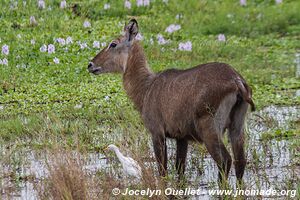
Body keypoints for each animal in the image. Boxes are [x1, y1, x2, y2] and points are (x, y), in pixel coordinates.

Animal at [88, 19, 254, 184]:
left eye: (113, 44)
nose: (90, 64)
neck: (146, 88)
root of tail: (236, 80)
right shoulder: (181, 137)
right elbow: (180, 169)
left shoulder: (157, 132)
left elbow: (163, 170)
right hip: (237, 127)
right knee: (240, 161)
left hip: (210, 128)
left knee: (225, 160)